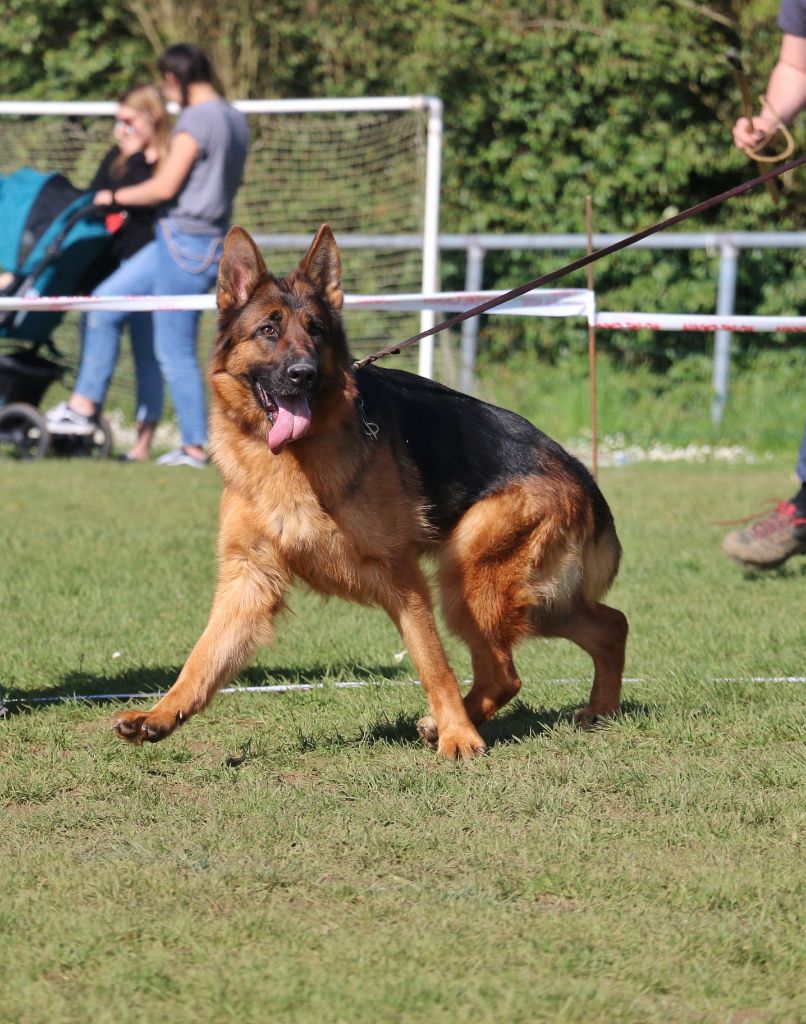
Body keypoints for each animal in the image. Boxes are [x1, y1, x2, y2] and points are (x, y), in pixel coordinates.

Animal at [112, 226, 630, 761]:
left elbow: (432, 664)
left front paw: (460, 738)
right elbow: (202, 658)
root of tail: (580, 475)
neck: (292, 458)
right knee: (611, 625)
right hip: (537, 600)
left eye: (316, 330)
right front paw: (160, 715)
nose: (303, 373)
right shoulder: (249, 579)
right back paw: (599, 710)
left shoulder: (402, 579)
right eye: (269, 331)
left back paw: (456, 727)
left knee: (505, 673)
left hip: (469, 578)